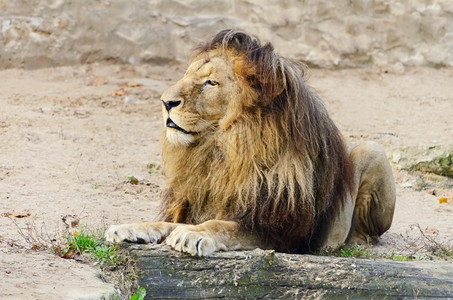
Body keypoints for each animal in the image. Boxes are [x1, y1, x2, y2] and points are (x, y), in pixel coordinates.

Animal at [106, 29, 396, 255]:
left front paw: (194, 235)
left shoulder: (282, 233)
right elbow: (170, 224)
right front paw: (132, 228)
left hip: (371, 150)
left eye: (211, 82)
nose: (165, 102)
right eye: (188, 76)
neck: (221, 150)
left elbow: (223, 226)